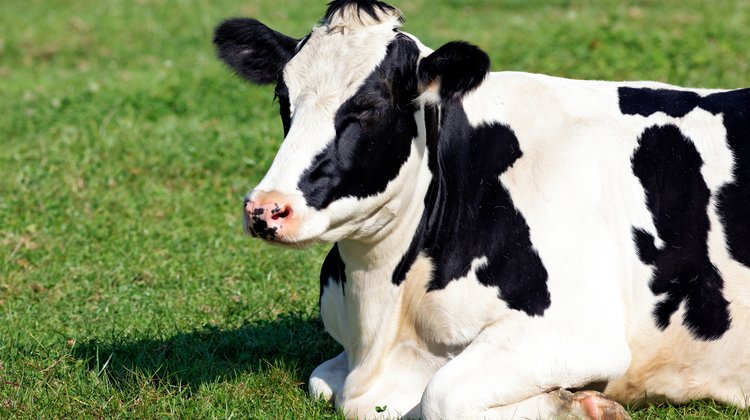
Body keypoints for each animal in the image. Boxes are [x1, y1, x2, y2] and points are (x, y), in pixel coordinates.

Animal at [213, 0, 750, 418]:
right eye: (283, 97)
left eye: (369, 107)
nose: (266, 209)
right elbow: (322, 381)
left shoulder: (576, 332)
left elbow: (441, 397)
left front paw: (582, 406)